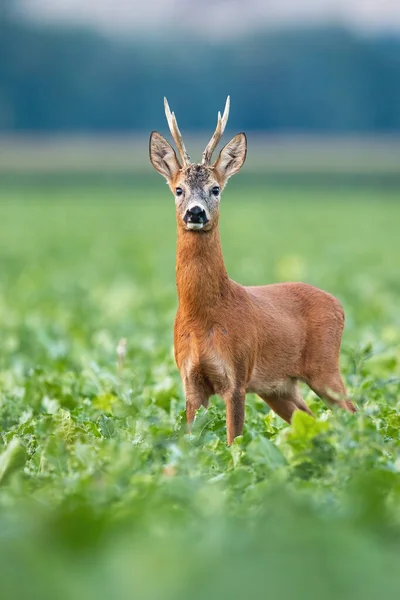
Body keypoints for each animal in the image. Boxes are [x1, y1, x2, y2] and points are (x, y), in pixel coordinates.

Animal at [148, 97, 354, 446]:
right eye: (178, 189)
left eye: (215, 189)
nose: (195, 212)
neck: (203, 317)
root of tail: (339, 304)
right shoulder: (190, 381)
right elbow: (192, 440)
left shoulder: (237, 375)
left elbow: (235, 440)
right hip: (279, 387)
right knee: (308, 418)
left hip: (324, 367)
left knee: (353, 411)